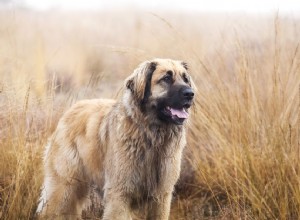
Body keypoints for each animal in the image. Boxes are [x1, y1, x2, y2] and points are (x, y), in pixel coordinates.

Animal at [37, 57, 196, 219]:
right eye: (166, 78)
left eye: (186, 79)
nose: (190, 94)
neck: (151, 136)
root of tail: (71, 110)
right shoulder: (119, 194)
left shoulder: (161, 196)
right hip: (65, 186)